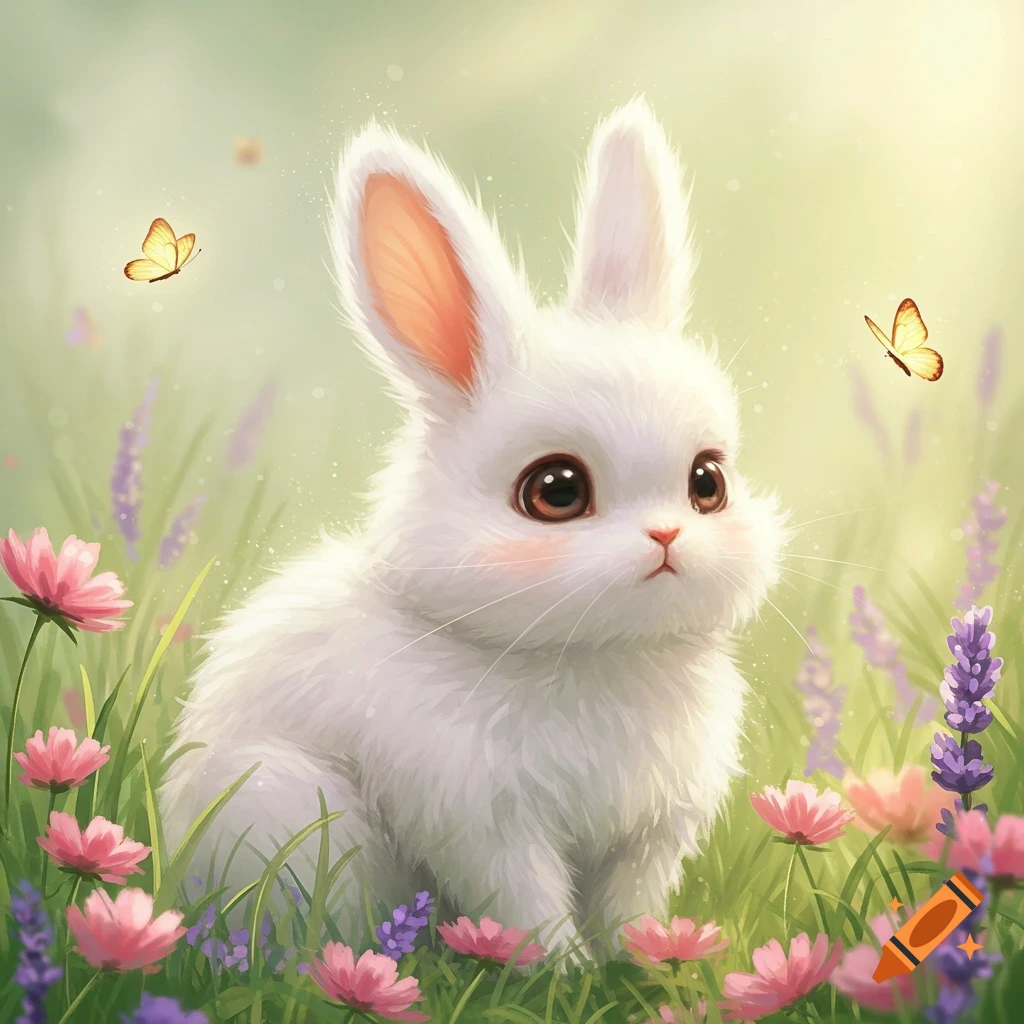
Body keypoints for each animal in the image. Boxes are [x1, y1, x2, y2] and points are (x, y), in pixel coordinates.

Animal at [160, 96, 785, 958]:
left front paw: (649, 959)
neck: (593, 659)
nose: (668, 539)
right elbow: (528, 903)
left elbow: (629, 906)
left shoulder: (651, 834)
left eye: (708, 483)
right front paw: (565, 969)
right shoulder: (483, 822)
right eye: (556, 490)